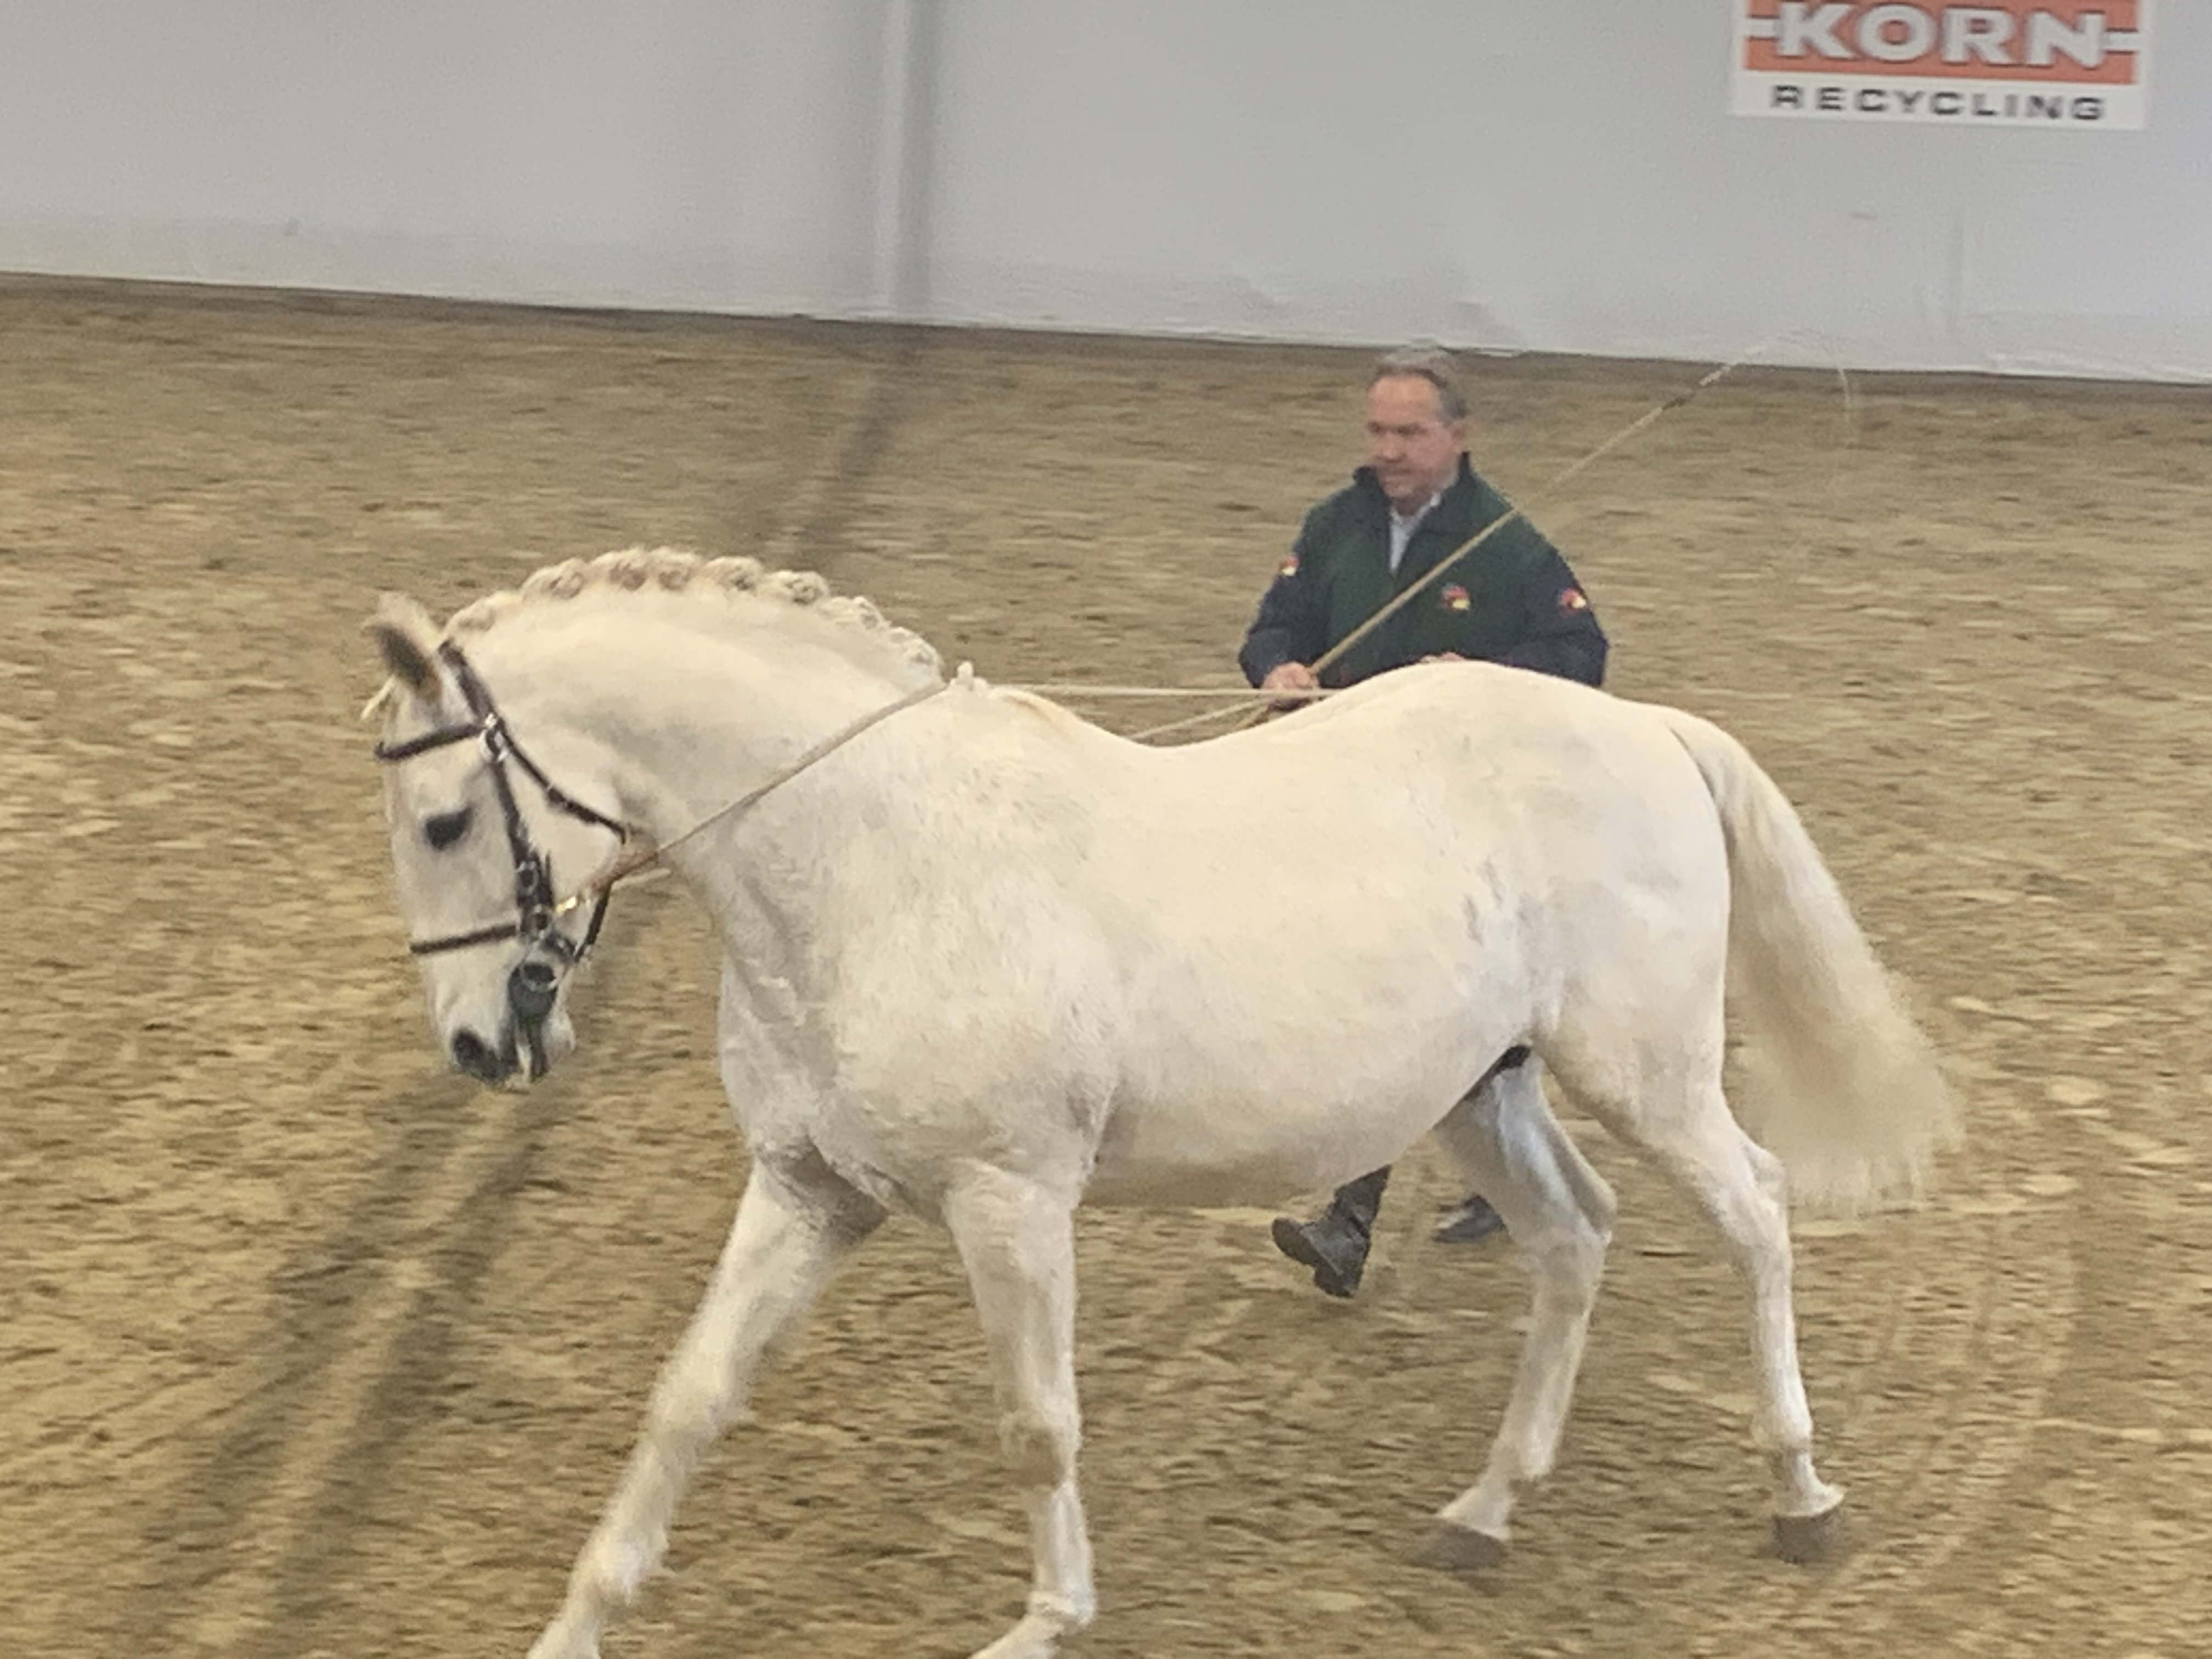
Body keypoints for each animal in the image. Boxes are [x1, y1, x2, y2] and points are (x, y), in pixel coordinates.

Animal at [365, 546, 1955, 1659]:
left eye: (442, 820)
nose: (481, 1047)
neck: (869, 861)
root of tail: (1647, 729)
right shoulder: (808, 1192)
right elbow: (688, 1400)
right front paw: (574, 1623)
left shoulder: (1009, 1203)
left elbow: (1036, 1428)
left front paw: (1044, 1621)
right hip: (1471, 1096)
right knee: (1576, 1236)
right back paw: (1486, 1513)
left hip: (1648, 1072)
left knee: (1754, 1213)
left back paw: (1801, 1499)